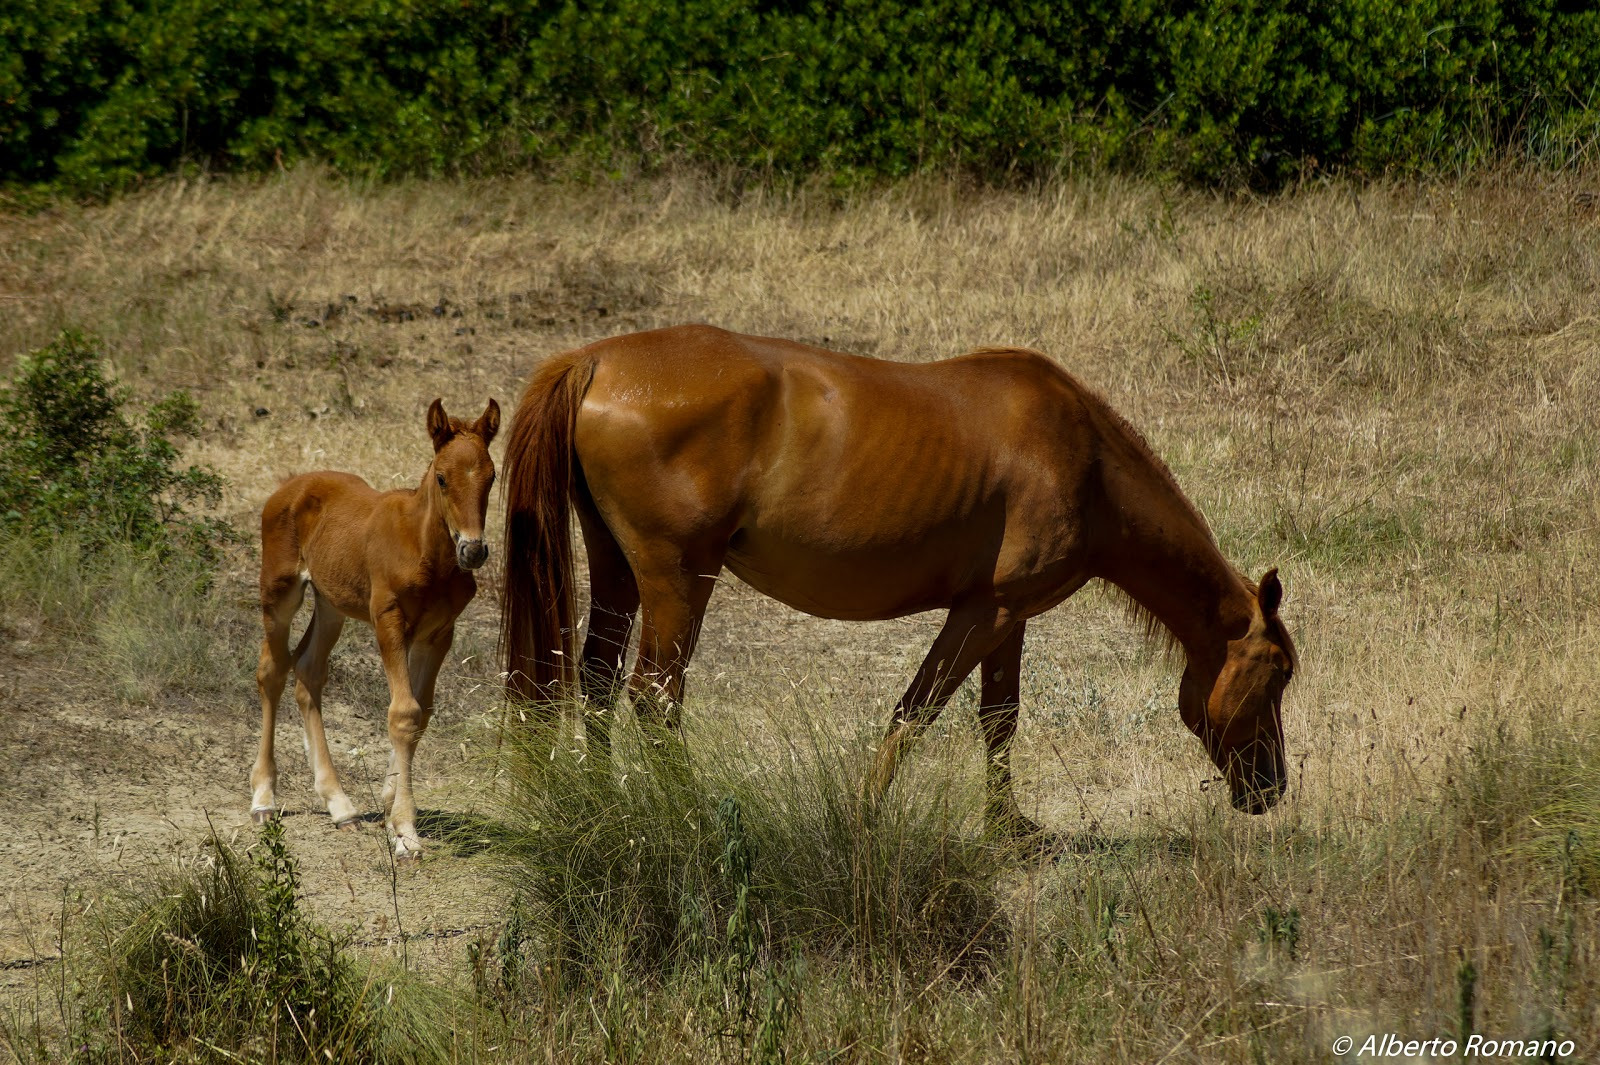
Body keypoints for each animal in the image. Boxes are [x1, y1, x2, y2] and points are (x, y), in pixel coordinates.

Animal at [249, 396, 496, 857]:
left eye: (492, 476)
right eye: (442, 477)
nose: (473, 550)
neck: (425, 549)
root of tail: (290, 485)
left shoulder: (439, 633)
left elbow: (421, 712)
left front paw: (389, 803)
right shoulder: (389, 620)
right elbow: (403, 712)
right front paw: (405, 832)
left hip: (331, 604)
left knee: (307, 672)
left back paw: (339, 805)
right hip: (279, 593)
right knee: (272, 671)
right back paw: (264, 798)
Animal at [499, 323, 1299, 831]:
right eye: (1279, 671)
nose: (1272, 788)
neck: (1082, 456)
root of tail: (595, 361)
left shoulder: (1008, 617)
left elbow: (998, 718)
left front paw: (1010, 829)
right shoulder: (985, 613)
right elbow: (919, 710)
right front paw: (866, 812)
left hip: (618, 573)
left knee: (597, 685)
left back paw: (607, 809)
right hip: (678, 581)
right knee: (655, 697)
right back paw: (688, 814)